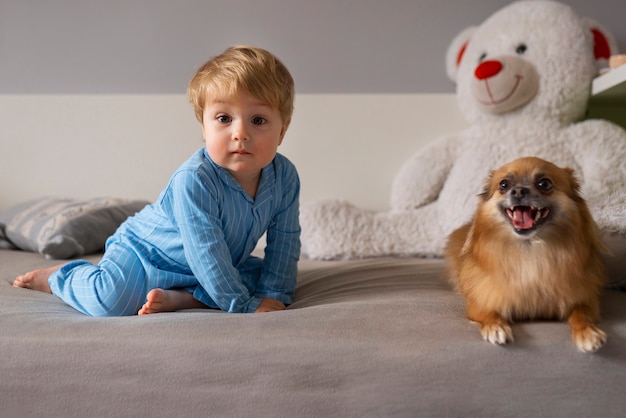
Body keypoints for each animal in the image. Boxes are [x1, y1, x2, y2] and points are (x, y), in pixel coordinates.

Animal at [444, 157, 604, 352]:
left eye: (544, 183)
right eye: (504, 184)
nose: (519, 190)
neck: (529, 251)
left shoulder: (586, 302)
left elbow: (581, 314)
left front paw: (588, 332)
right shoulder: (481, 303)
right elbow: (490, 313)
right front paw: (496, 327)